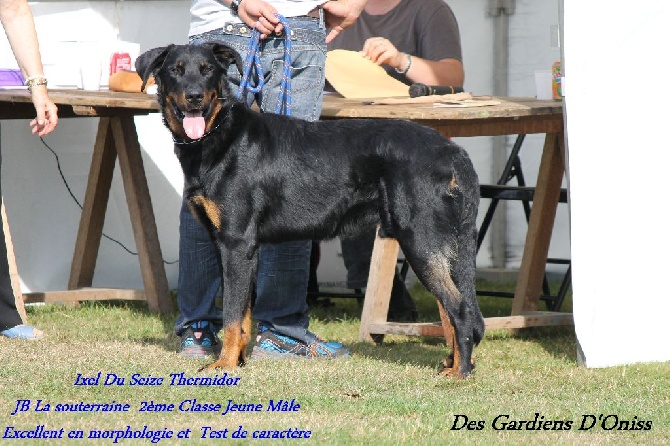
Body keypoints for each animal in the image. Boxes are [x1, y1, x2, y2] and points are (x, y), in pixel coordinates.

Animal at [136, 42, 486, 376]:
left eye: (207, 70)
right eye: (176, 70)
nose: (194, 96)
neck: (219, 133)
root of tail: (452, 151)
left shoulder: (236, 244)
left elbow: (233, 315)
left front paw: (223, 365)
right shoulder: (234, 247)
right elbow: (243, 315)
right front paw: (238, 361)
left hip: (420, 239)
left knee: (460, 308)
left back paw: (460, 373)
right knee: (451, 309)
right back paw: (453, 363)